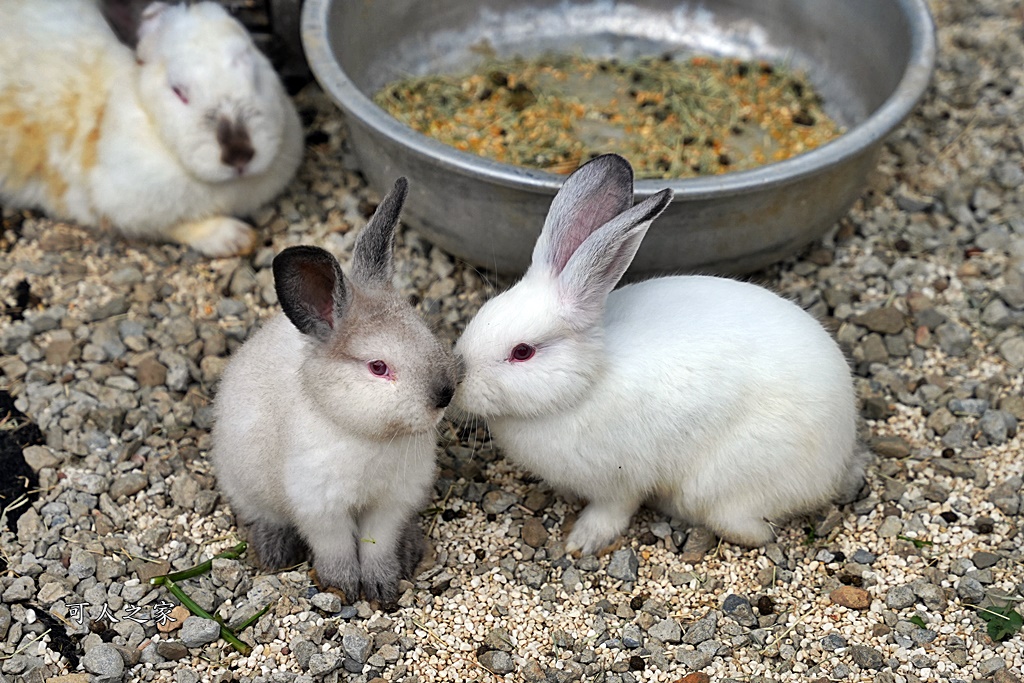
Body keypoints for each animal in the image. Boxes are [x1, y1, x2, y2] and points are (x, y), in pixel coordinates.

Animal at [1, 0, 303, 255]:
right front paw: (235, 238)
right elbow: (176, 226)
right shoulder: (112, 206)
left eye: (255, 72)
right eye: (178, 91)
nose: (239, 155)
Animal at [211, 179, 460, 606]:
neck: (368, 437)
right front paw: (342, 587)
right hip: (244, 485)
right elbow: (337, 548)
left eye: (426, 332)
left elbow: (377, 545)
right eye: (378, 367)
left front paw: (381, 587)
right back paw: (274, 551)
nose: (444, 395)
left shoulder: (390, 505)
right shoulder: (320, 507)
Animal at [452, 153, 868, 557]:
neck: (585, 386)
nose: (457, 383)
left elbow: (612, 512)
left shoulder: (619, 482)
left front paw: (581, 542)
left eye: (522, 352)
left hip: (725, 480)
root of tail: (839, 455)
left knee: (749, 528)